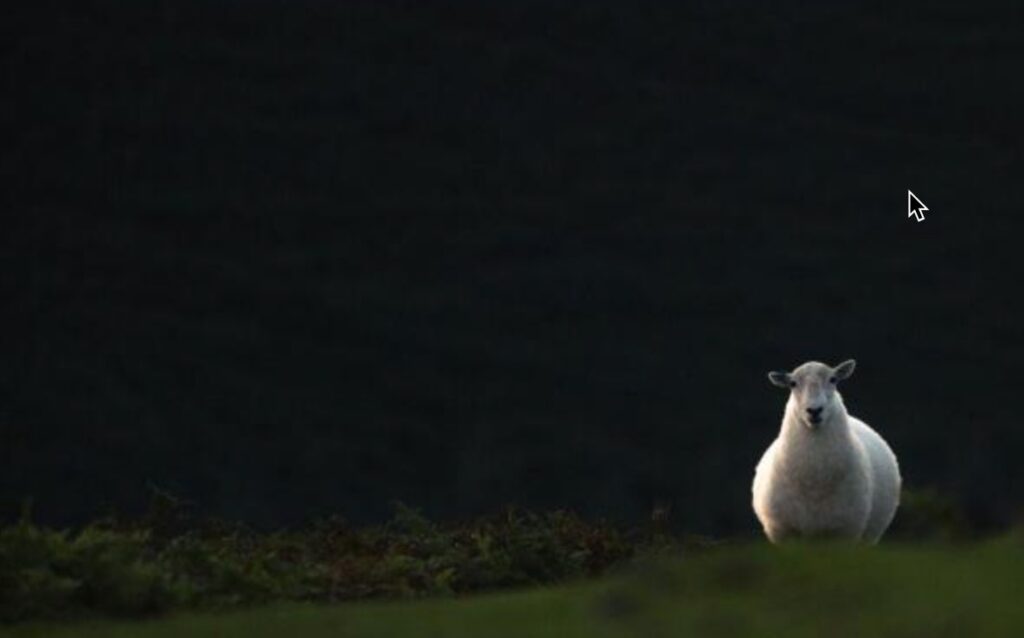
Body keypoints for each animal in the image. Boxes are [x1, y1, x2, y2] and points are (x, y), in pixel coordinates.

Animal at [752, 359, 901, 543]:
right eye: (792, 384)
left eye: (833, 379)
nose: (815, 410)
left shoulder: (844, 532)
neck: (815, 481)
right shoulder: (784, 531)